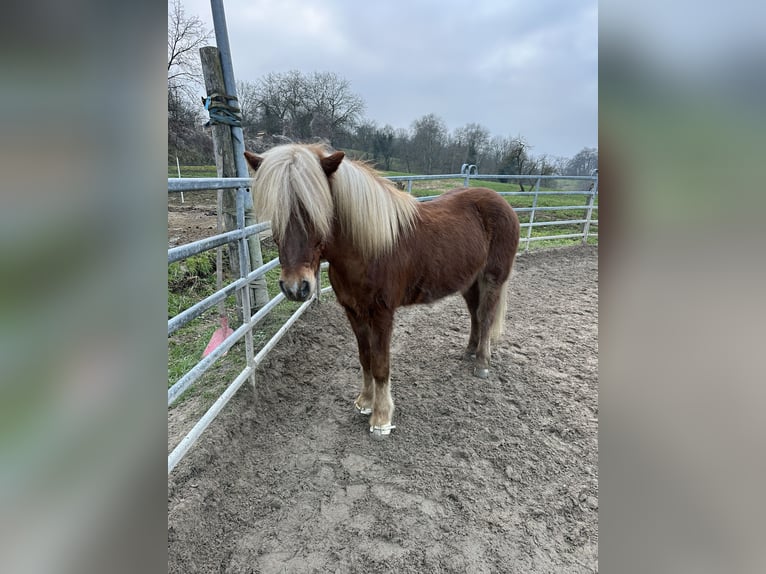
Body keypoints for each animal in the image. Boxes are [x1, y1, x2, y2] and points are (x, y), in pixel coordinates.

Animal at [244, 144, 520, 437]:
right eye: (275, 212)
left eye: (313, 210)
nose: (296, 287)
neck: (368, 250)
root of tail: (502, 203)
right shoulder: (354, 312)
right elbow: (365, 358)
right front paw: (365, 402)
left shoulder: (382, 314)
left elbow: (380, 365)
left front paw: (381, 419)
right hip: (469, 282)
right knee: (475, 315)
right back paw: (469, 352)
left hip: (492, 279)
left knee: (486, 317)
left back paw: (481, 363)